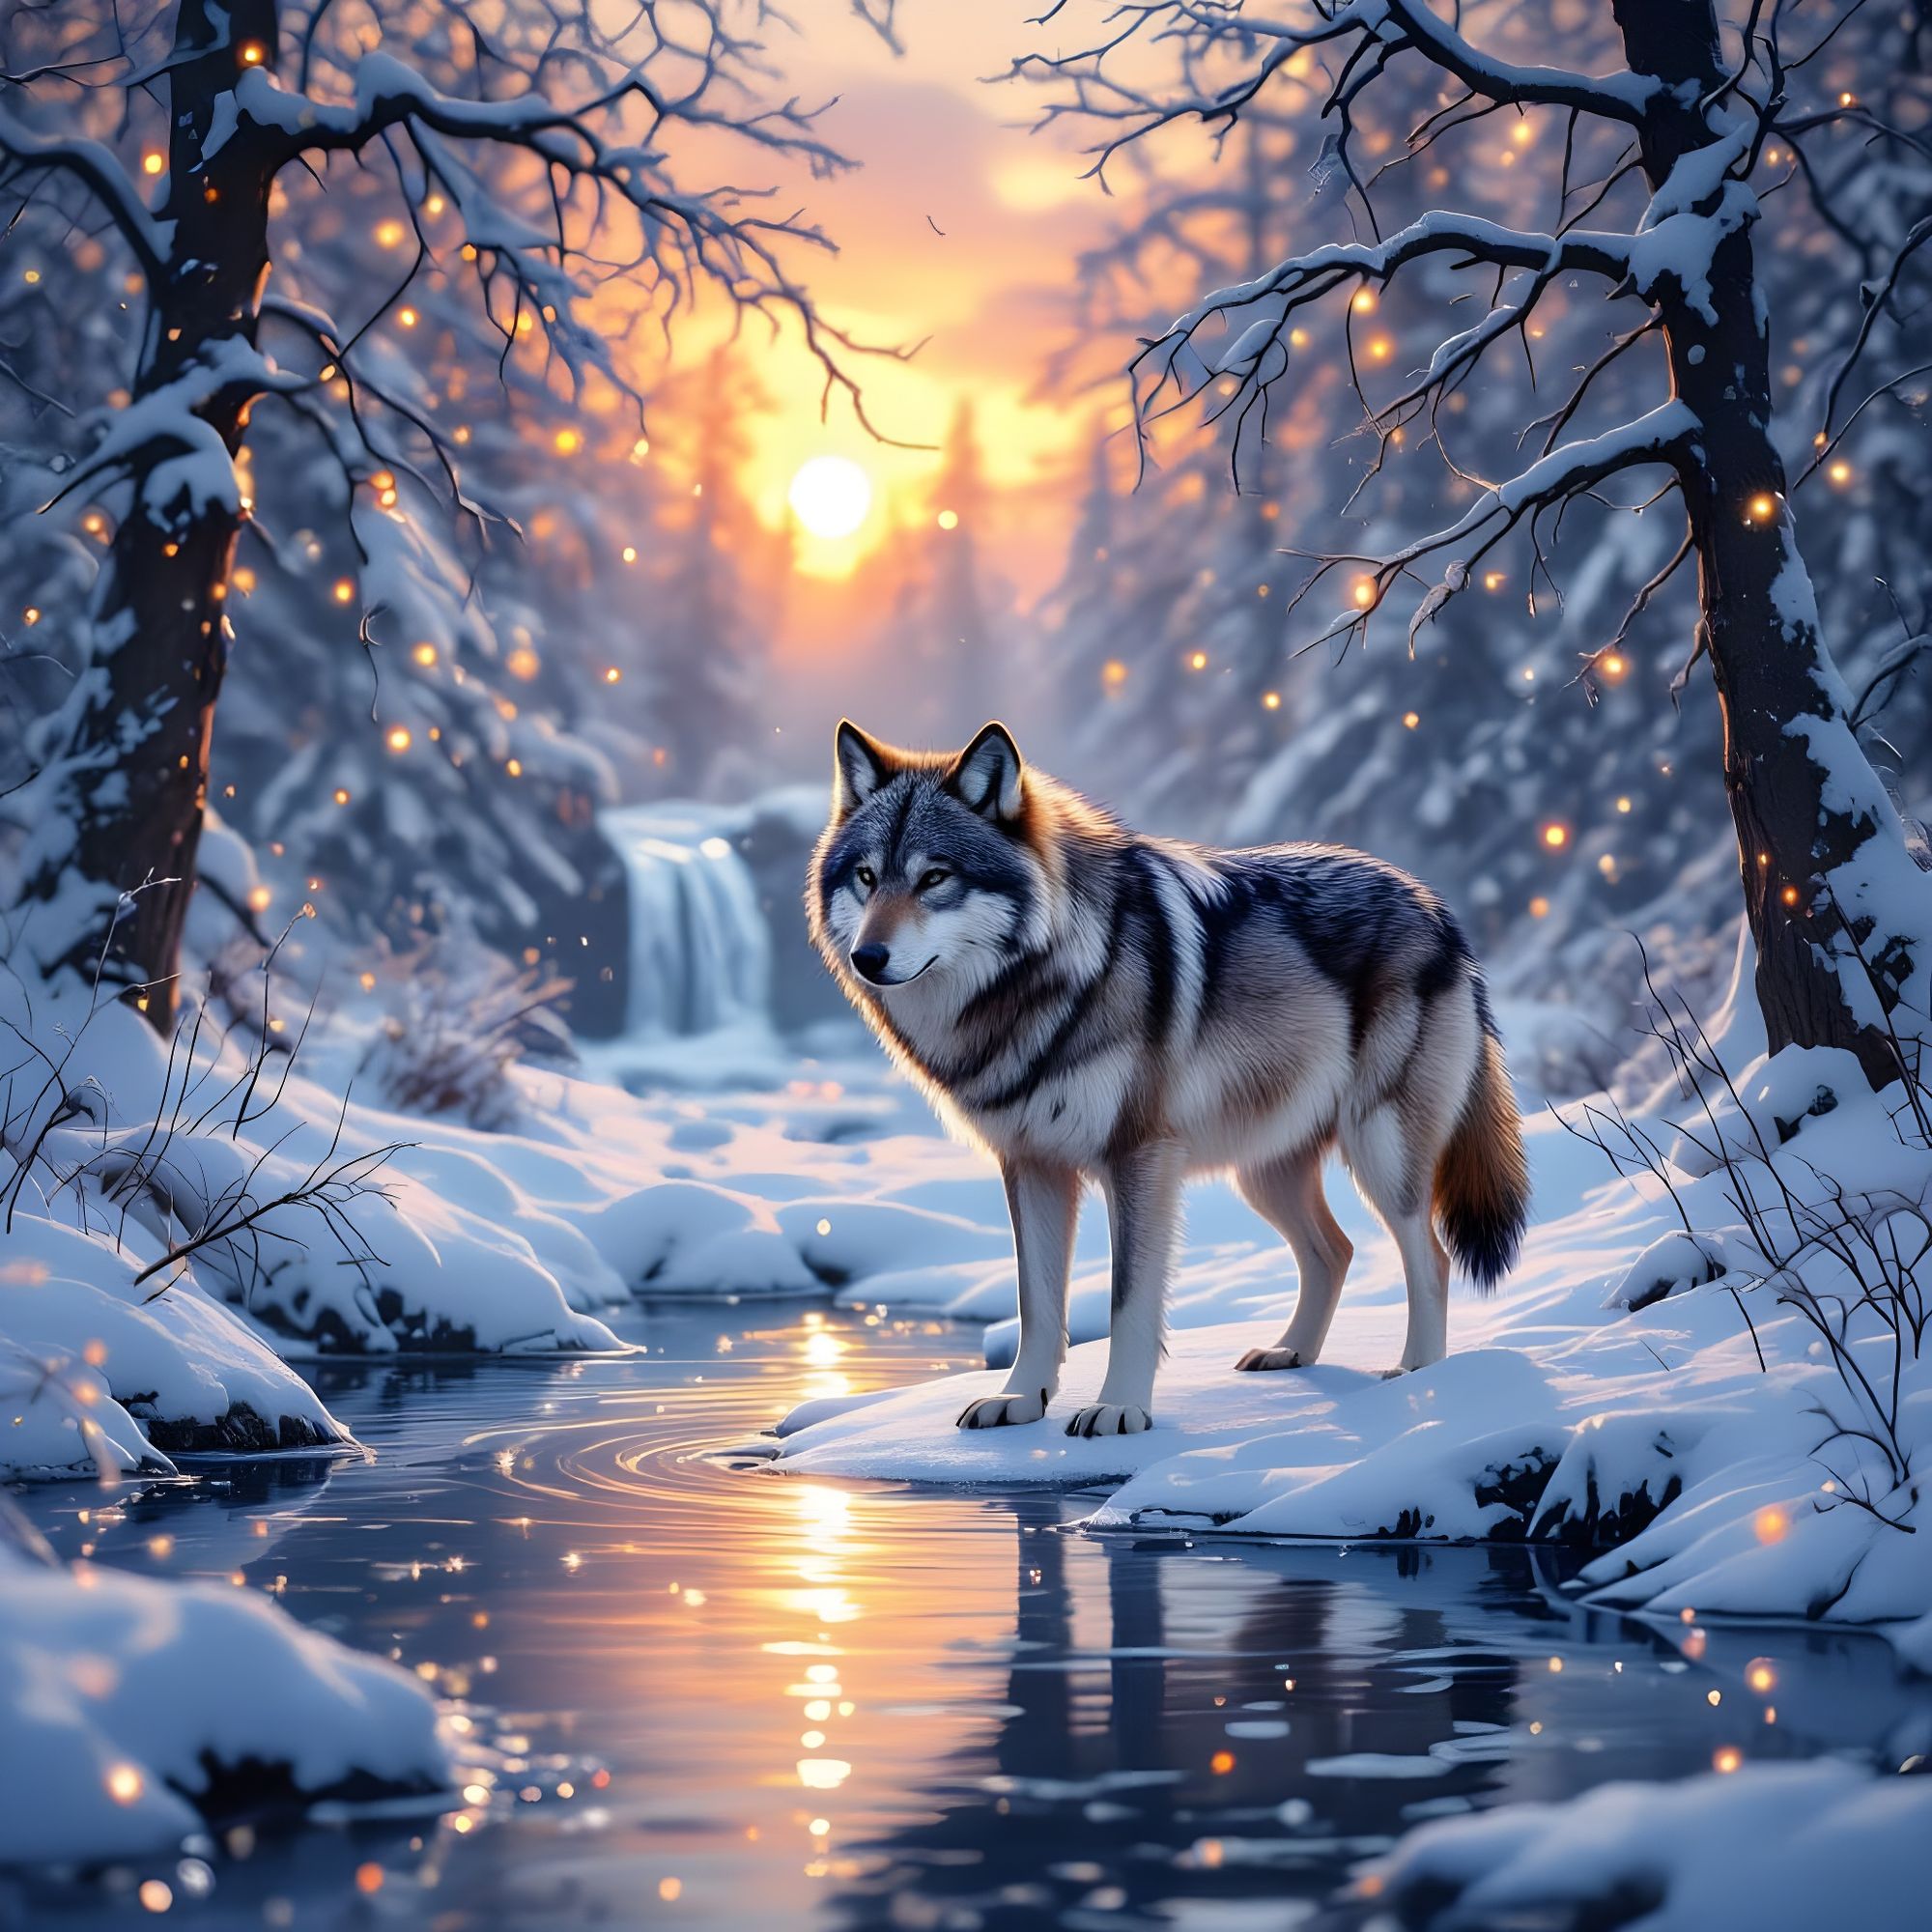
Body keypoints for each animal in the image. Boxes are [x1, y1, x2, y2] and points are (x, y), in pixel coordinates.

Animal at [806, 719, 1529, 1438]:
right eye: (867, 877)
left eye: (934, 877)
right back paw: (1290, 1353)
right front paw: (1019, 1399)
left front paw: (1119, 1408)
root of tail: (1434, 904)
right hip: (1262, 1171)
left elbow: (1128, 1301)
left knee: (1430, 1256)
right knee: (1337, 1251)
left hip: (1379, 1152)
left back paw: (1420, 1378)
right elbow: (1035, 1302)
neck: (1043, 981)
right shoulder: (1031, 1163)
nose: (868, 957)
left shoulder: (1139, 1158)